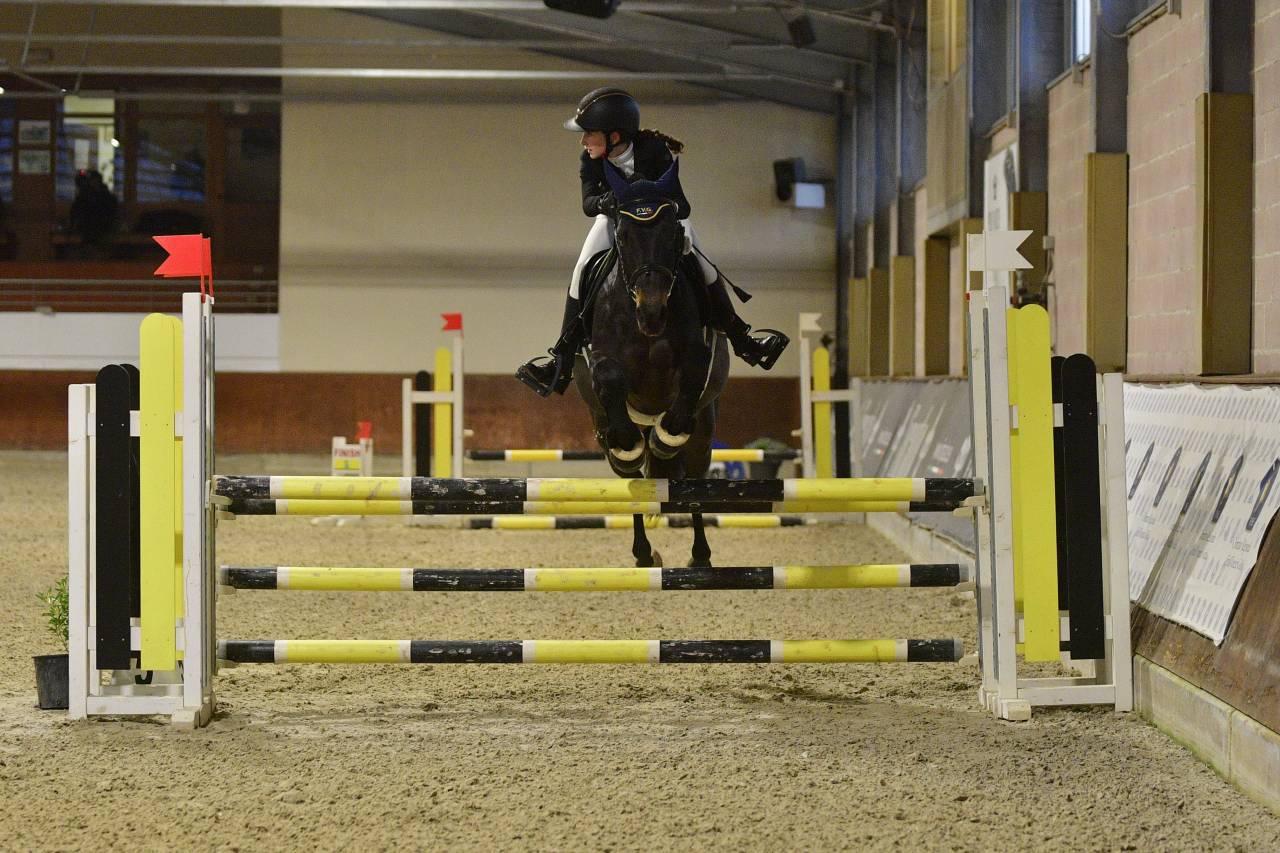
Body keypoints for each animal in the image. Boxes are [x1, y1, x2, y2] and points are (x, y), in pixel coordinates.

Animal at [573, 159, 729, 568]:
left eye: (673, 234)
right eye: (623, 236)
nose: (652, 312)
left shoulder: (695, 359)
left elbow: (691, 378)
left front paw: (665, 438)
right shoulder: (603, 362)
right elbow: (610, 378)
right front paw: (630, 446)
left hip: (704, 434)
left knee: (695, 485)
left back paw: (700, 557)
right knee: (630, 481)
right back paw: (644, 555)